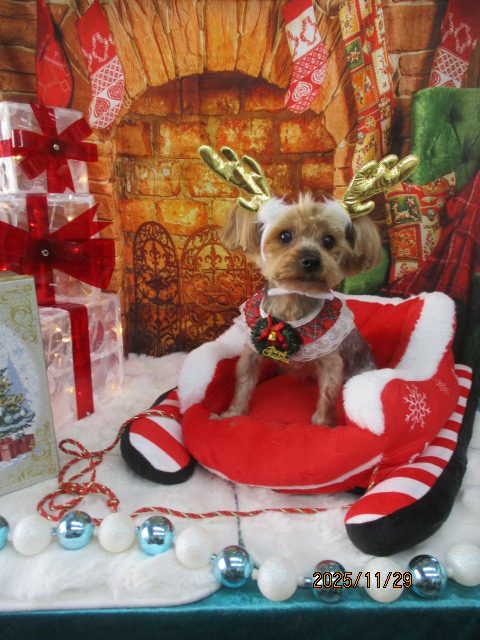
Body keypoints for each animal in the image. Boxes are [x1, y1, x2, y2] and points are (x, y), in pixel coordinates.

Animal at [213, 193, 382, 426]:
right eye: (285, 236)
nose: (311, 259)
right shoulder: (251, 352)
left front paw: (322, 424)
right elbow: (243, 382)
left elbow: (328, 393)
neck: (292, 302)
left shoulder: (330, 359)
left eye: (329, 240)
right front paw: (233, 414)